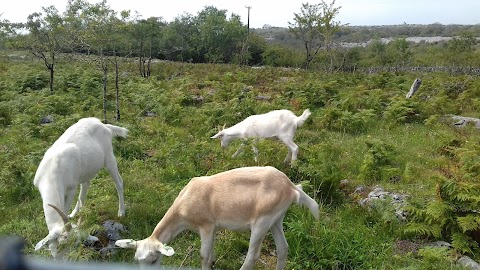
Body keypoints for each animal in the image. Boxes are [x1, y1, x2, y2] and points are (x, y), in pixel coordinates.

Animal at [33, 117, 128, 258]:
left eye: (76, 244)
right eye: (60, 244)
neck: (51, 174)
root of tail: (102, 124)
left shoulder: (71, 188)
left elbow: (66, 207)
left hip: (109, 158)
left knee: (119, 182)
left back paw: (121, 212)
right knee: (86, 185)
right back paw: (75, 213)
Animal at [116, 166, 318, 268]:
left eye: (154, 260)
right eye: (136, 260)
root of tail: (291, 187)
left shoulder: (206, 225)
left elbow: (204, 256)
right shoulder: (213, 228)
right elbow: (211, 254)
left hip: (263, 220)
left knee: (252, 256)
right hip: (276, 218)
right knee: (283, 248)